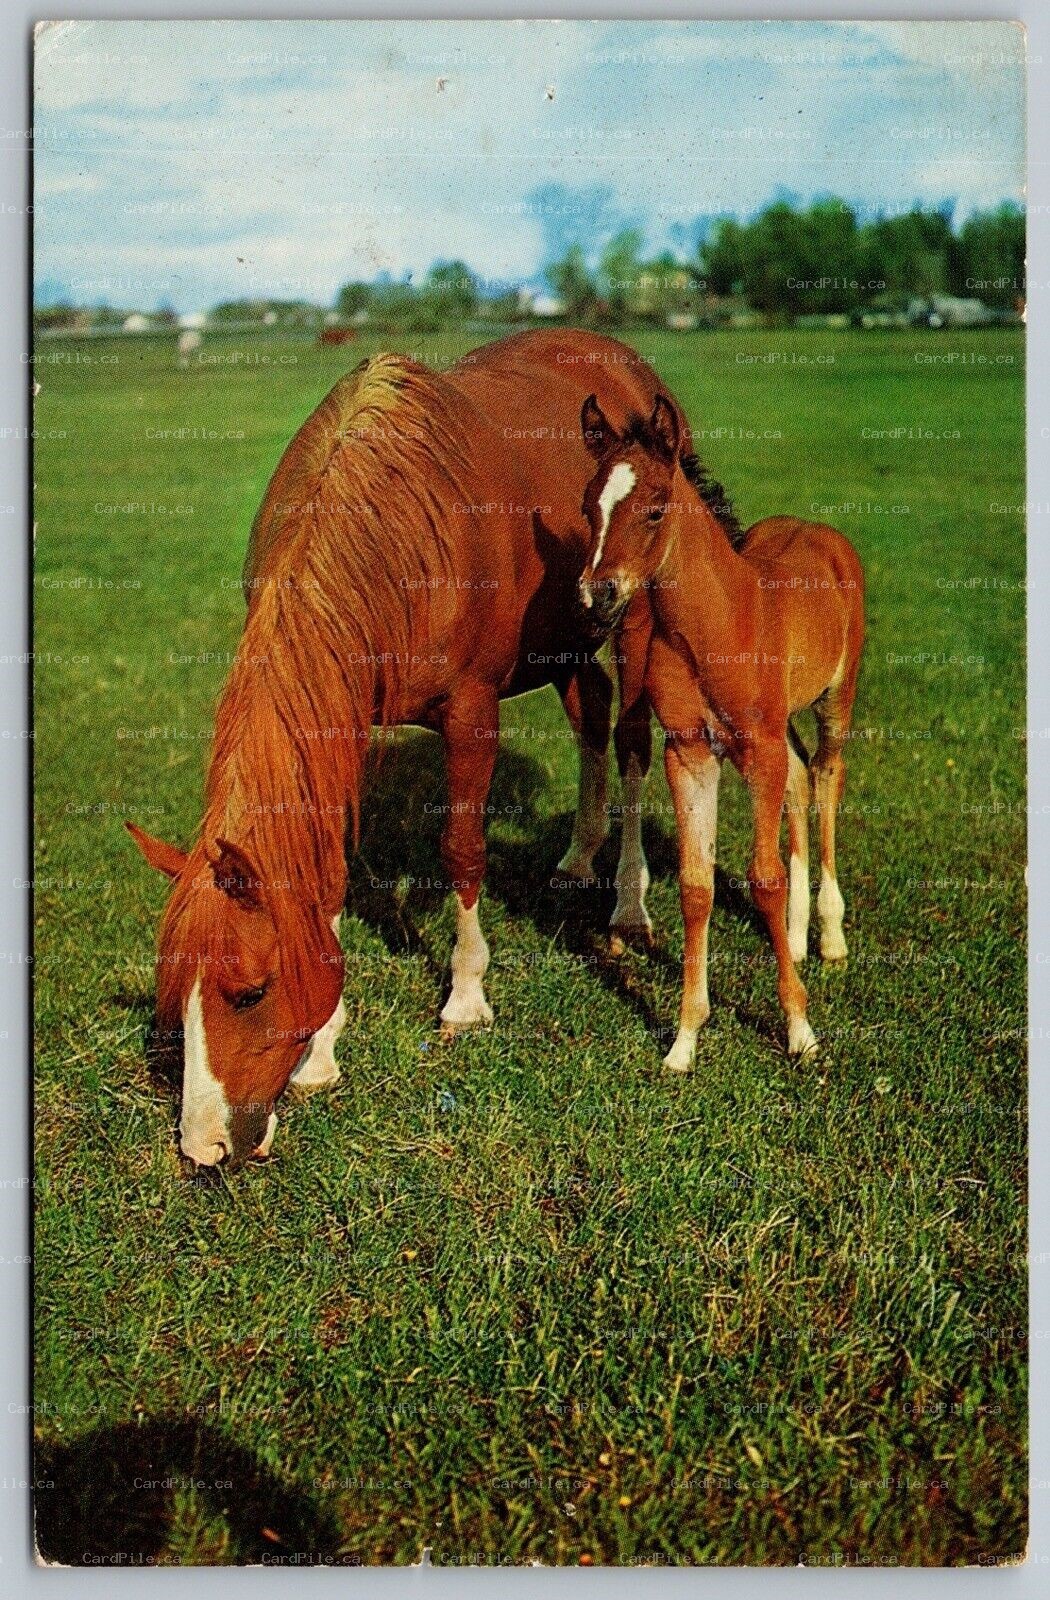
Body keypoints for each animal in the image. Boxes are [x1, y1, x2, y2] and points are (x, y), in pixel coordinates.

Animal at [126, 331, 699, 1167]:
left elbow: (462, 847)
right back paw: (575, 855)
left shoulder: (471, 711)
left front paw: (465, 996)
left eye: (249, 992)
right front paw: (323, 1052)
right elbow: (330, 873)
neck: (386, 536)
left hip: (631, 613)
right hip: (566, 641)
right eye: (175, 994)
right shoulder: (338, 718)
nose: (205, 1149)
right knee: (590, 714)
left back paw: (627, 900)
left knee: (626, 740)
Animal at [576, 392, 865, 1069]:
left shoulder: (756, 750)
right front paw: (684, 1039)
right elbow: (696, 885)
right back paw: (796, 935)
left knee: (826, 778)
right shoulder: (690, 753)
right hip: (782, 725)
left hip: (835, 701)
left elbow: (763, 877)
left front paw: (799, 1030)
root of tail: (819, 531)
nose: (597, 595)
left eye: (655, 509)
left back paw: (830, 935)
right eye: (587, 505)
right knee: (800, 781)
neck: (715, 624)